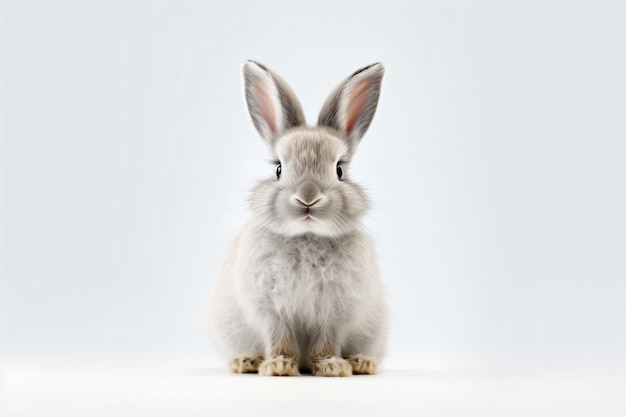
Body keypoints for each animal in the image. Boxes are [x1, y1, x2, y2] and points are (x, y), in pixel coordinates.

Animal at [207, 61, 388, 376]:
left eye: (340, 170)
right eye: (278, 168)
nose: (308, 197)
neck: (307, 236)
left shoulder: (333, 312)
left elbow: (327, 341)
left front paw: (331, 367)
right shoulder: (271, 310)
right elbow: (279, 338)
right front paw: (278, 366)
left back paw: (361, 362)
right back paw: (245, 361)